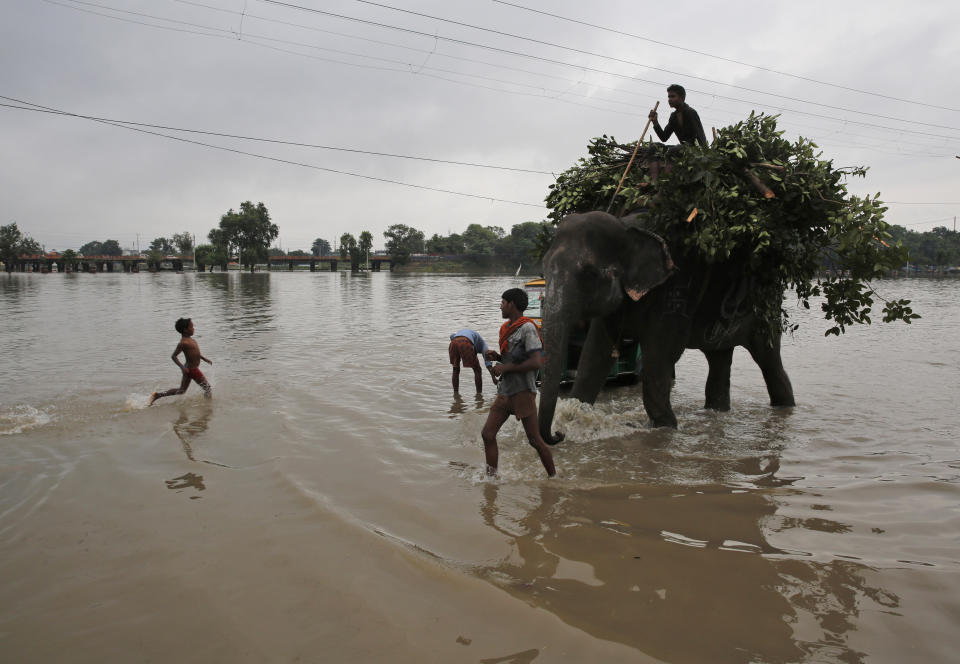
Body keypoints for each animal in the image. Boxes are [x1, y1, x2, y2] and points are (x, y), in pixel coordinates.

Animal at [540, 210, 796, 438]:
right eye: (543, 268)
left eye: (590, 274)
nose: (557, 435)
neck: (627, 226)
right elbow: (594, 356)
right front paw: (574, 417)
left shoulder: (676, 289)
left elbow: (659, 357)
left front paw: (666, 429)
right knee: (719, 357)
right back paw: (717, 412)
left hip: (766, 308)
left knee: (768, 358)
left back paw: (785, 406)